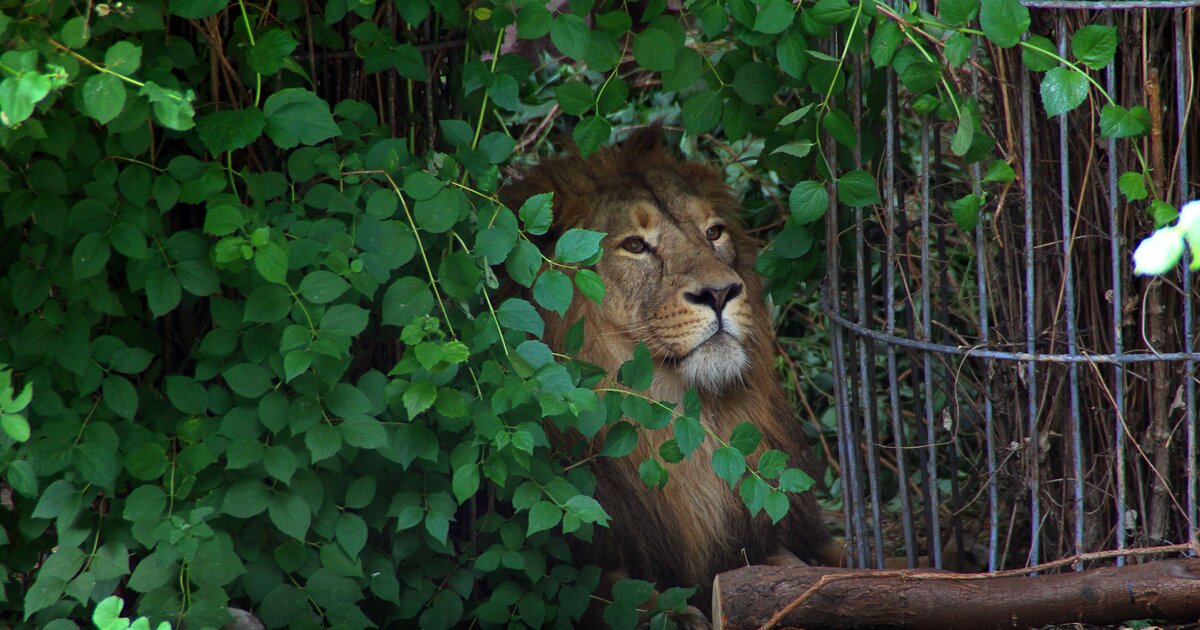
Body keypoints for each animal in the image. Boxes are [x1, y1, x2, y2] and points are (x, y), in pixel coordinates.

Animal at [496, 127, 854, 624]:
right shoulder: (572, 565)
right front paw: (675, 615)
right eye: (634, 246)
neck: (688, 415)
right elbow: (609, 592)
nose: (721, 292)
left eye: (714, 232)